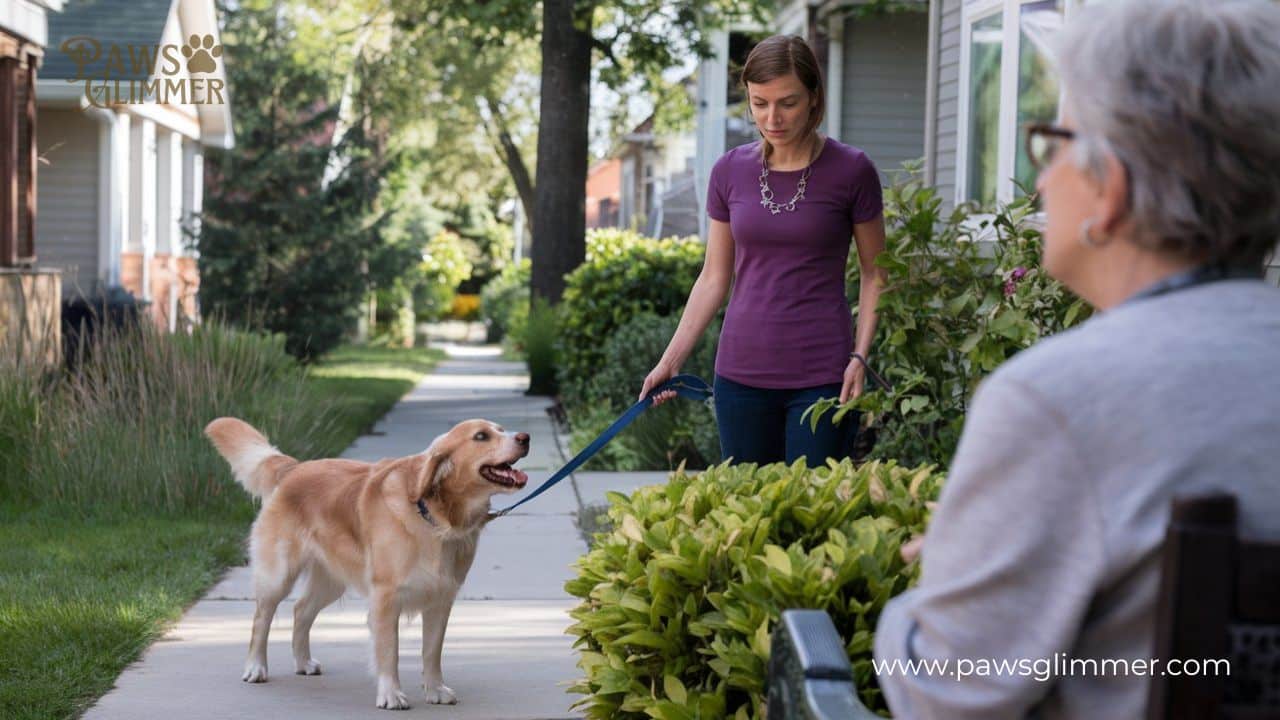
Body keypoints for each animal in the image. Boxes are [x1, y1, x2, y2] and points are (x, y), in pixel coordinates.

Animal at [203, 415, 529, 707]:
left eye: (501, 429)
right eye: (481, 436)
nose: (524, 437)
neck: (435, 516)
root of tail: (294, 468)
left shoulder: (441, 598)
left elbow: (432, 650)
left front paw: (435, 689)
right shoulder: (386, 597)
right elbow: (389, 651)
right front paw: (391, 694)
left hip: (331, 580)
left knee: (301, 610)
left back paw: (303, 661)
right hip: (278, 575)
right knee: (262, 618)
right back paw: (256, 667)